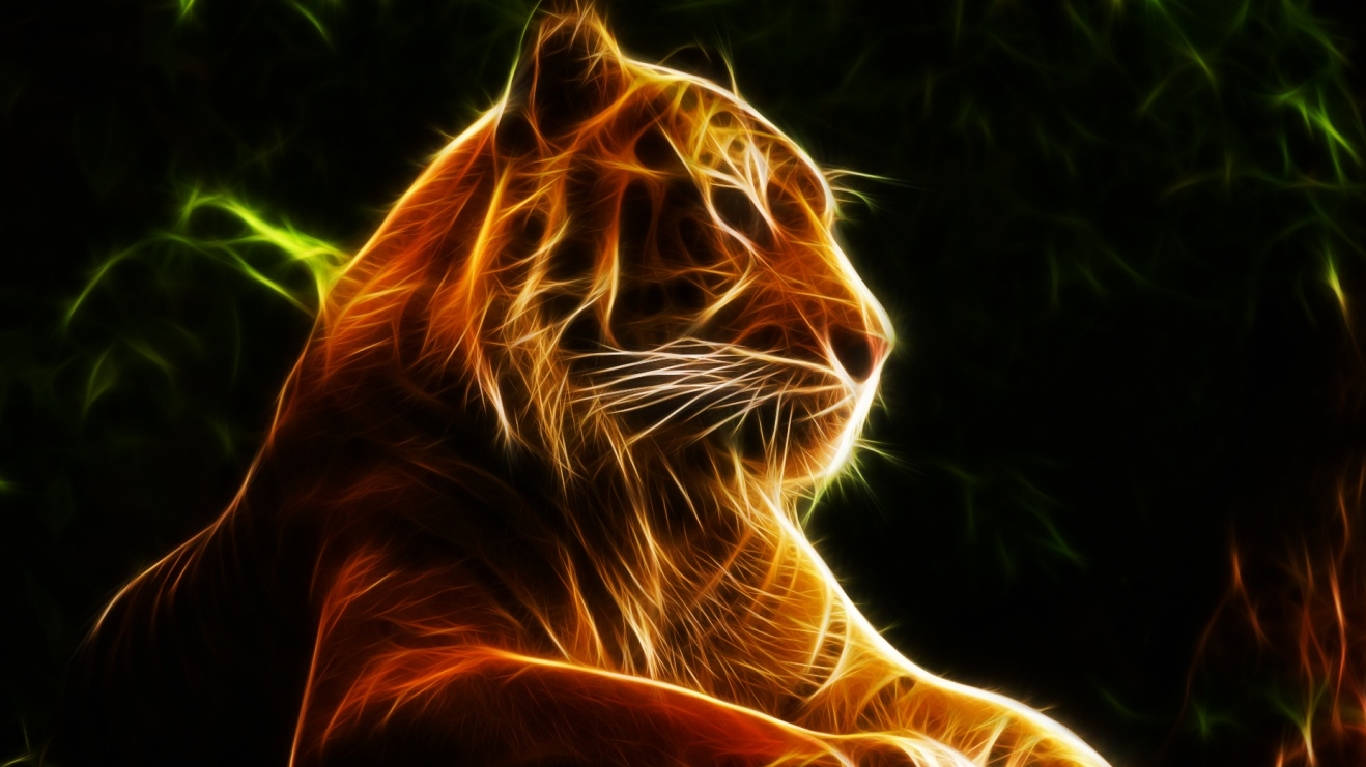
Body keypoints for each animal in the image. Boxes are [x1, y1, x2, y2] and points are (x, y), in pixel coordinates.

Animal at [50, 5, 1111, 766]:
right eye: (734, 209)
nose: (876, 343)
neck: (662, 510)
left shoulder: (852, 672)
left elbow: (1036, 730)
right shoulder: (396, 667)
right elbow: (664, 719)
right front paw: (903, 757)